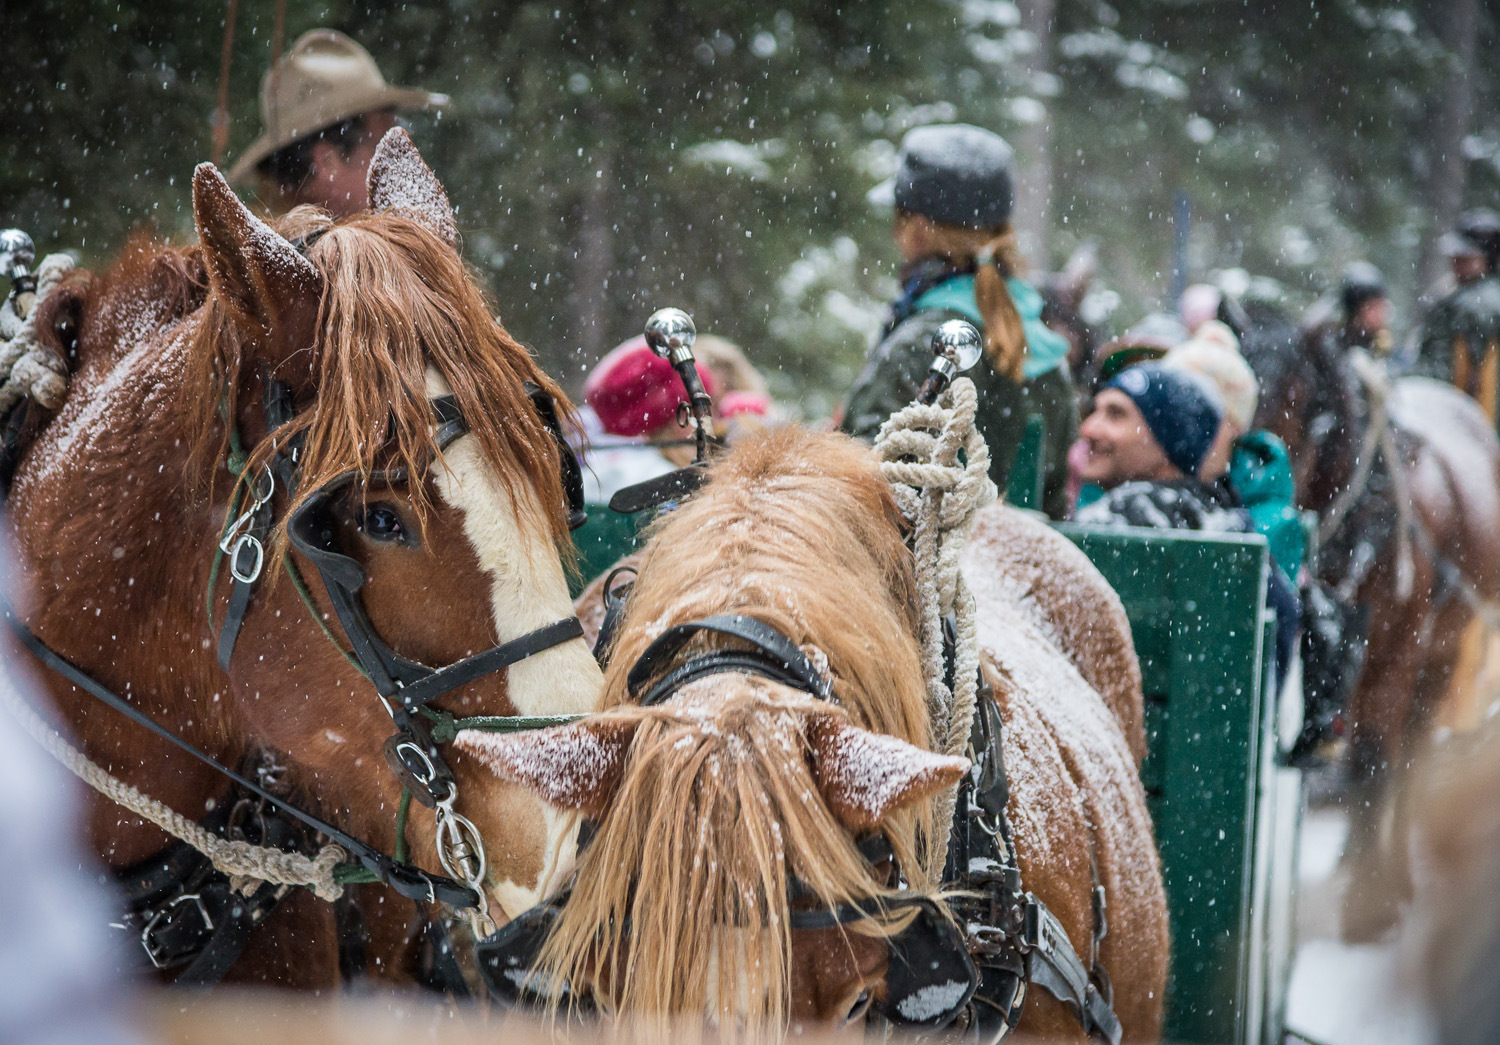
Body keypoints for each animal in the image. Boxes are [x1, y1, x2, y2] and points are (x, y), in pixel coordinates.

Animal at [1240, 300, 1500, 941]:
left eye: (1298, 394)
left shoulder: (1397, 649)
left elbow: (1376, 756)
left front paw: (1372, 903)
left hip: (1442, 651)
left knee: (1408, 749)